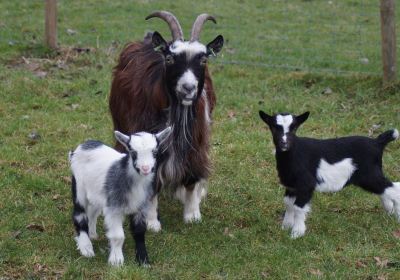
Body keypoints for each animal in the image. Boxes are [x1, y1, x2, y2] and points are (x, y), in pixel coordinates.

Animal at [68, 127, 170, 264]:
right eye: (132, 152)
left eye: (155, 152)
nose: (145, 168)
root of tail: (83, 145)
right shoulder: (114, 207)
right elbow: (118, 236)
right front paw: (116, 261)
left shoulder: (140, 206)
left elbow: (139, 231)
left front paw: (143, 260)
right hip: (79, 187)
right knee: (79, 214)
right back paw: (86, 247)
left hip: (96, 192)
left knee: (93, 212)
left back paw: (92, 234)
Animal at [108, 10, 223, 230]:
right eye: (169, 59)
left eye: (203, 59)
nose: (188, 88)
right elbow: (151, 182)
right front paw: (151, 222)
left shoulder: (197, 143)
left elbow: (192, 178)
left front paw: (192, 214)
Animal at [258, 111, 398, 238]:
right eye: (274, 128)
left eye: (294, 128)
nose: (284, 144)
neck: (293, 153)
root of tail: (377, 143)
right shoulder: (291, 186)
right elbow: (288, 203)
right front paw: (285, 227)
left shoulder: (306, 185)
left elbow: (298, 207)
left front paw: (296, 233)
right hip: (373, 175)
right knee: (386, 190)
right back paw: (390, 212)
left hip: (369, 175)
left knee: (394, 188)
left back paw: (397, 217)